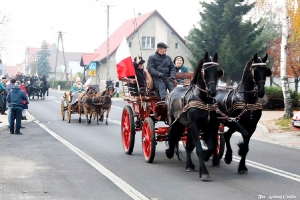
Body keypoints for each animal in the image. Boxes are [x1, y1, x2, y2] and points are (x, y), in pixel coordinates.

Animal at [165, 52, 224, 180]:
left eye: (218, 71)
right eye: (204, 71)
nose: (213, 92)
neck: (204, 100)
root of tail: (172, 91)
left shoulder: (211, 125)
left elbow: (210, 146)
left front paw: (207, 157)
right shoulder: (195, 126)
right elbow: (199, 149)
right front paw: (204, 172)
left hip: (187, 126)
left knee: (187, 145)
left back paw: (189, 165)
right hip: (175, 121)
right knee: (172, 136)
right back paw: (170, 152)